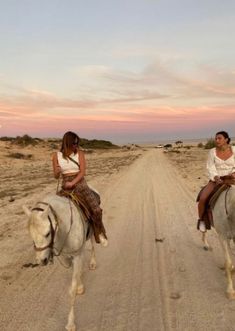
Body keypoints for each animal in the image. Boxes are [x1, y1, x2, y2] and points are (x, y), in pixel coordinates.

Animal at [22, 195, 96, 331]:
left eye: (47, 233)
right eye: (31, 235)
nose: (41, 261)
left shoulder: (77, 255)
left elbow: (72, 291)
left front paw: (71, 323)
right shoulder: (65, 257)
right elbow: (74, 272)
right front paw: (80, 285)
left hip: (92, 231)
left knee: (93, 243)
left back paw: (93, 262)